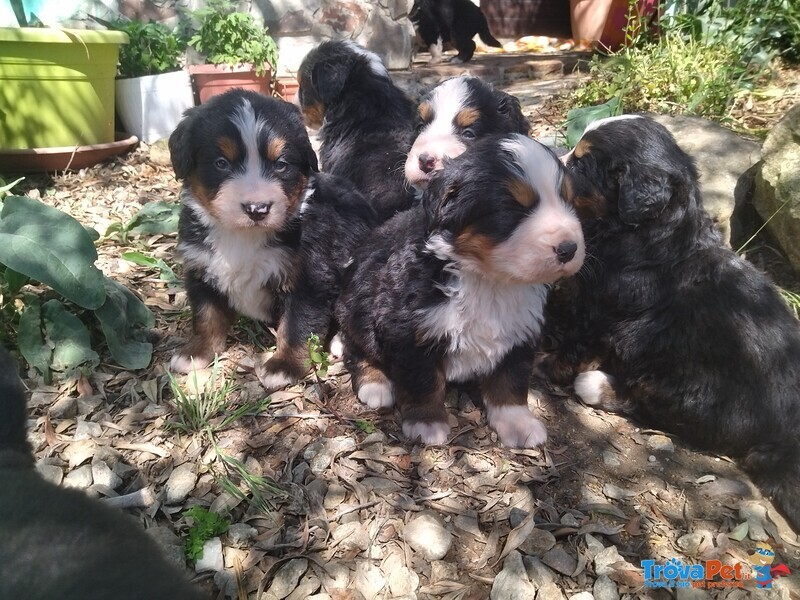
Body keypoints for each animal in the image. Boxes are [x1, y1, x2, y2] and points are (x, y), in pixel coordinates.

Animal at [168, 89, 378, 390]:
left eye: (281, 165)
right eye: (221, 163)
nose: (257, 208)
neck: (243, 236)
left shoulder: (309, 278)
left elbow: (296, 325)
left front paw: (285, 366)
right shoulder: (201, 267)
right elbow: (206, 315)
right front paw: (197, 351)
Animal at [334, 135, 584, 446]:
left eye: (570, 202)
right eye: (511, 209)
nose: (569, 248)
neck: (489, 281)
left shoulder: (520, 329)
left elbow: (510, 380)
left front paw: (517, 423)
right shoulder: (409, 329)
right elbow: (423, 381)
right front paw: (427, 423)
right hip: (359, 307)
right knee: (356, 348)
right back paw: (375, 384)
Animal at [544, 115, 800, 532]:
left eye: (580, 164)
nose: (549, 155)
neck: (646, 233)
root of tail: (783, 437)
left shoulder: (602, 309)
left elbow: (576, 340)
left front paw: (551, 363)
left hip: (682, 381)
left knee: (649, 404)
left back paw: (595, 384)